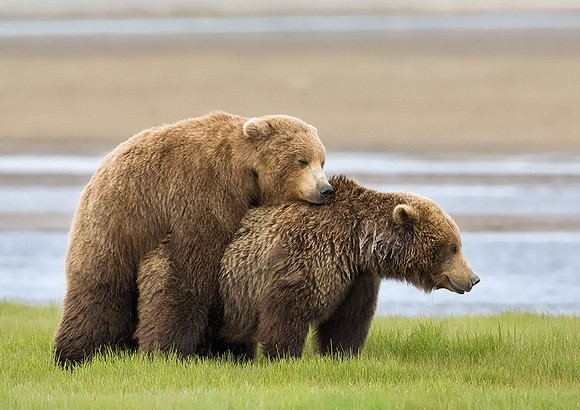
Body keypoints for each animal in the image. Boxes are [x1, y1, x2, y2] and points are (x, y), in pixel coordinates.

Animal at [55, 111, 336, 366]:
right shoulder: (203, 191)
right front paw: (179, 348)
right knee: (100, 295)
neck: (245, 174)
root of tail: (98, 173)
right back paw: (74, 355)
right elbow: (191, 267)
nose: (325, 189)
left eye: (321, 161)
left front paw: (228, 349)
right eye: (302, 160)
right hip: (116, 228)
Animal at [211, 175, 478, 360]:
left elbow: (348, 321)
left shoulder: (356, 279)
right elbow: (287, 313)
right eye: (453, 247)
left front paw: (343, 354)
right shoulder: (307, 257)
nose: (473, 278)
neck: (355, 245)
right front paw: (284, 355)